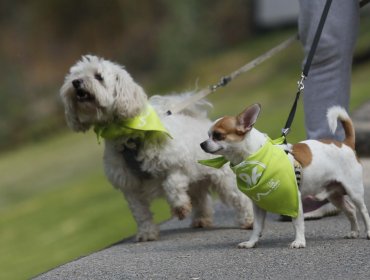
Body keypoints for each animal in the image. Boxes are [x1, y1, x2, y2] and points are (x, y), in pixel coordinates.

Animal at [60, 55, 253, 242]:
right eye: (74, 75)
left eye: (98, 76)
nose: (76, 82)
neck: (128, 137)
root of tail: (200, 120)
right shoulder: (129, 185)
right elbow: (140, 213)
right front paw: (147, 233)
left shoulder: (177, 165)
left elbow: (171, 185)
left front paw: (179, 207)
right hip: (197, 181)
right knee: (201, 199)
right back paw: (201, 219)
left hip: (221, 178)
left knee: (238, 197)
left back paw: (248, 220)